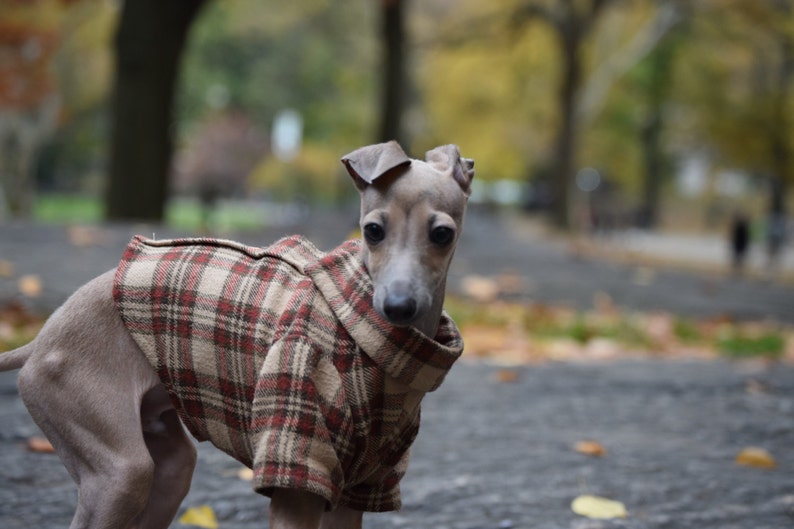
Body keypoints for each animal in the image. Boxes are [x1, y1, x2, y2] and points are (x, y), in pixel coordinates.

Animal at [0, 140, 470, 528]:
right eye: (372, 230)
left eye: (442, 234)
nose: (398, 306)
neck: (375, 351)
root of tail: (39, 342)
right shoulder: (296, 473)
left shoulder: (362, 486)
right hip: (120, 471)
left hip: (169, 468)